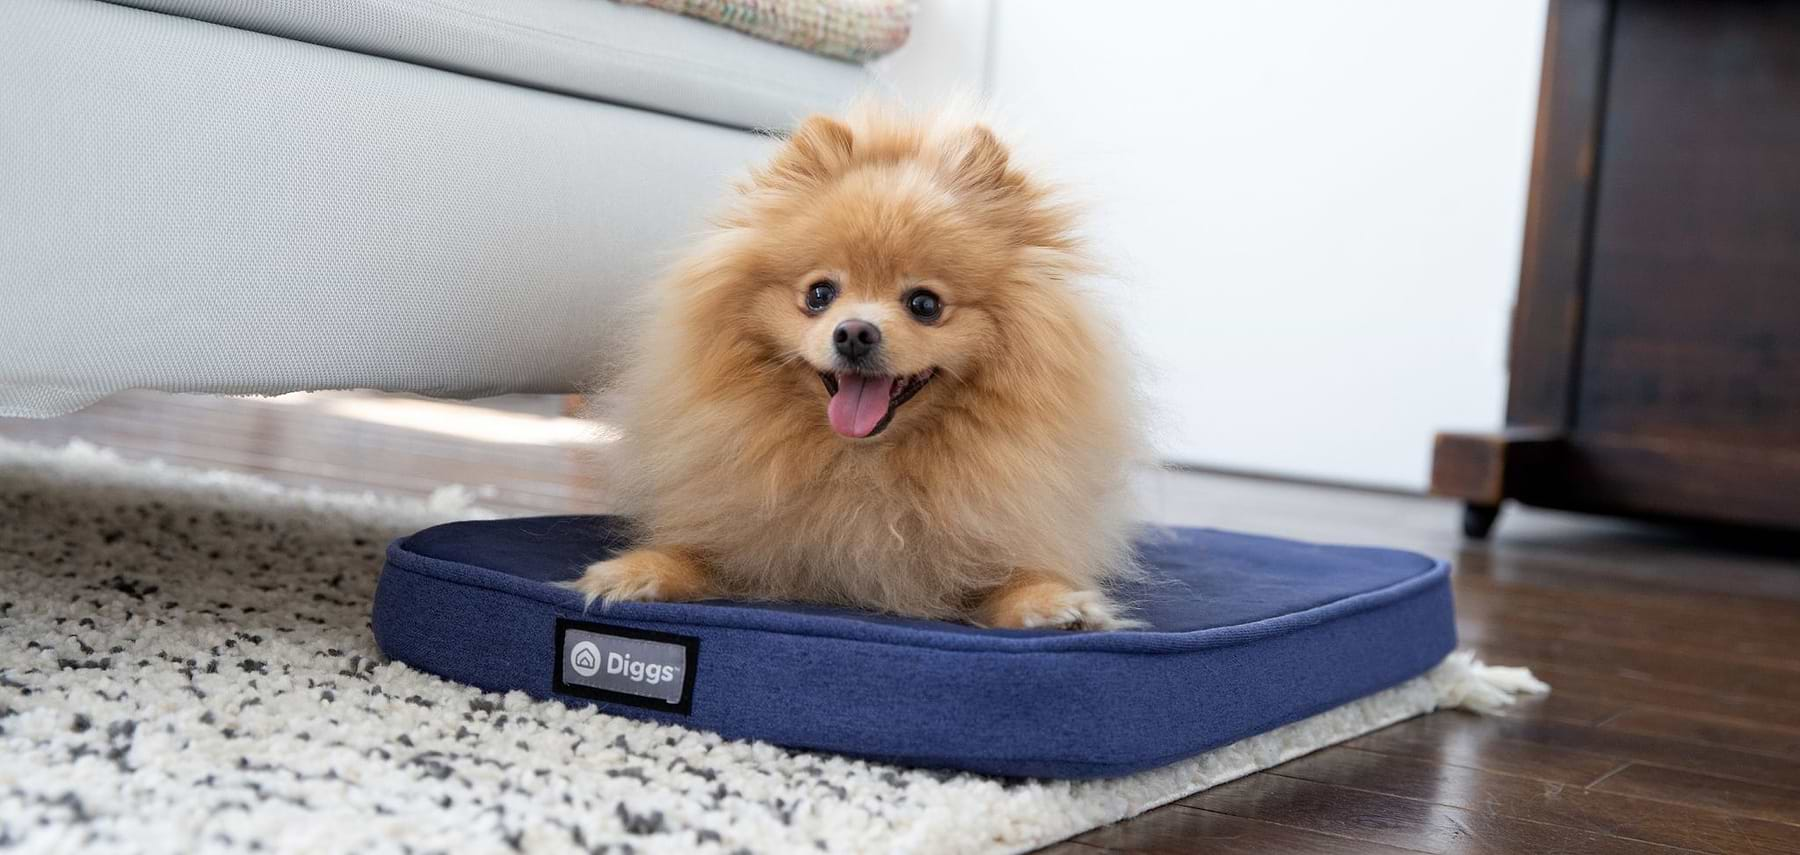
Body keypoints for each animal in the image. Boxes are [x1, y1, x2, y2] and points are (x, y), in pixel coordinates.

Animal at [568, 105, 1144, 630]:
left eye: (924, 304)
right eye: (820, 295)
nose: (854, 332)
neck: (862, 465)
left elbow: (1015, 576)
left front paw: (1056, 605)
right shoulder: (743, 534)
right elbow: (692, 552)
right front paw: (632, 572)